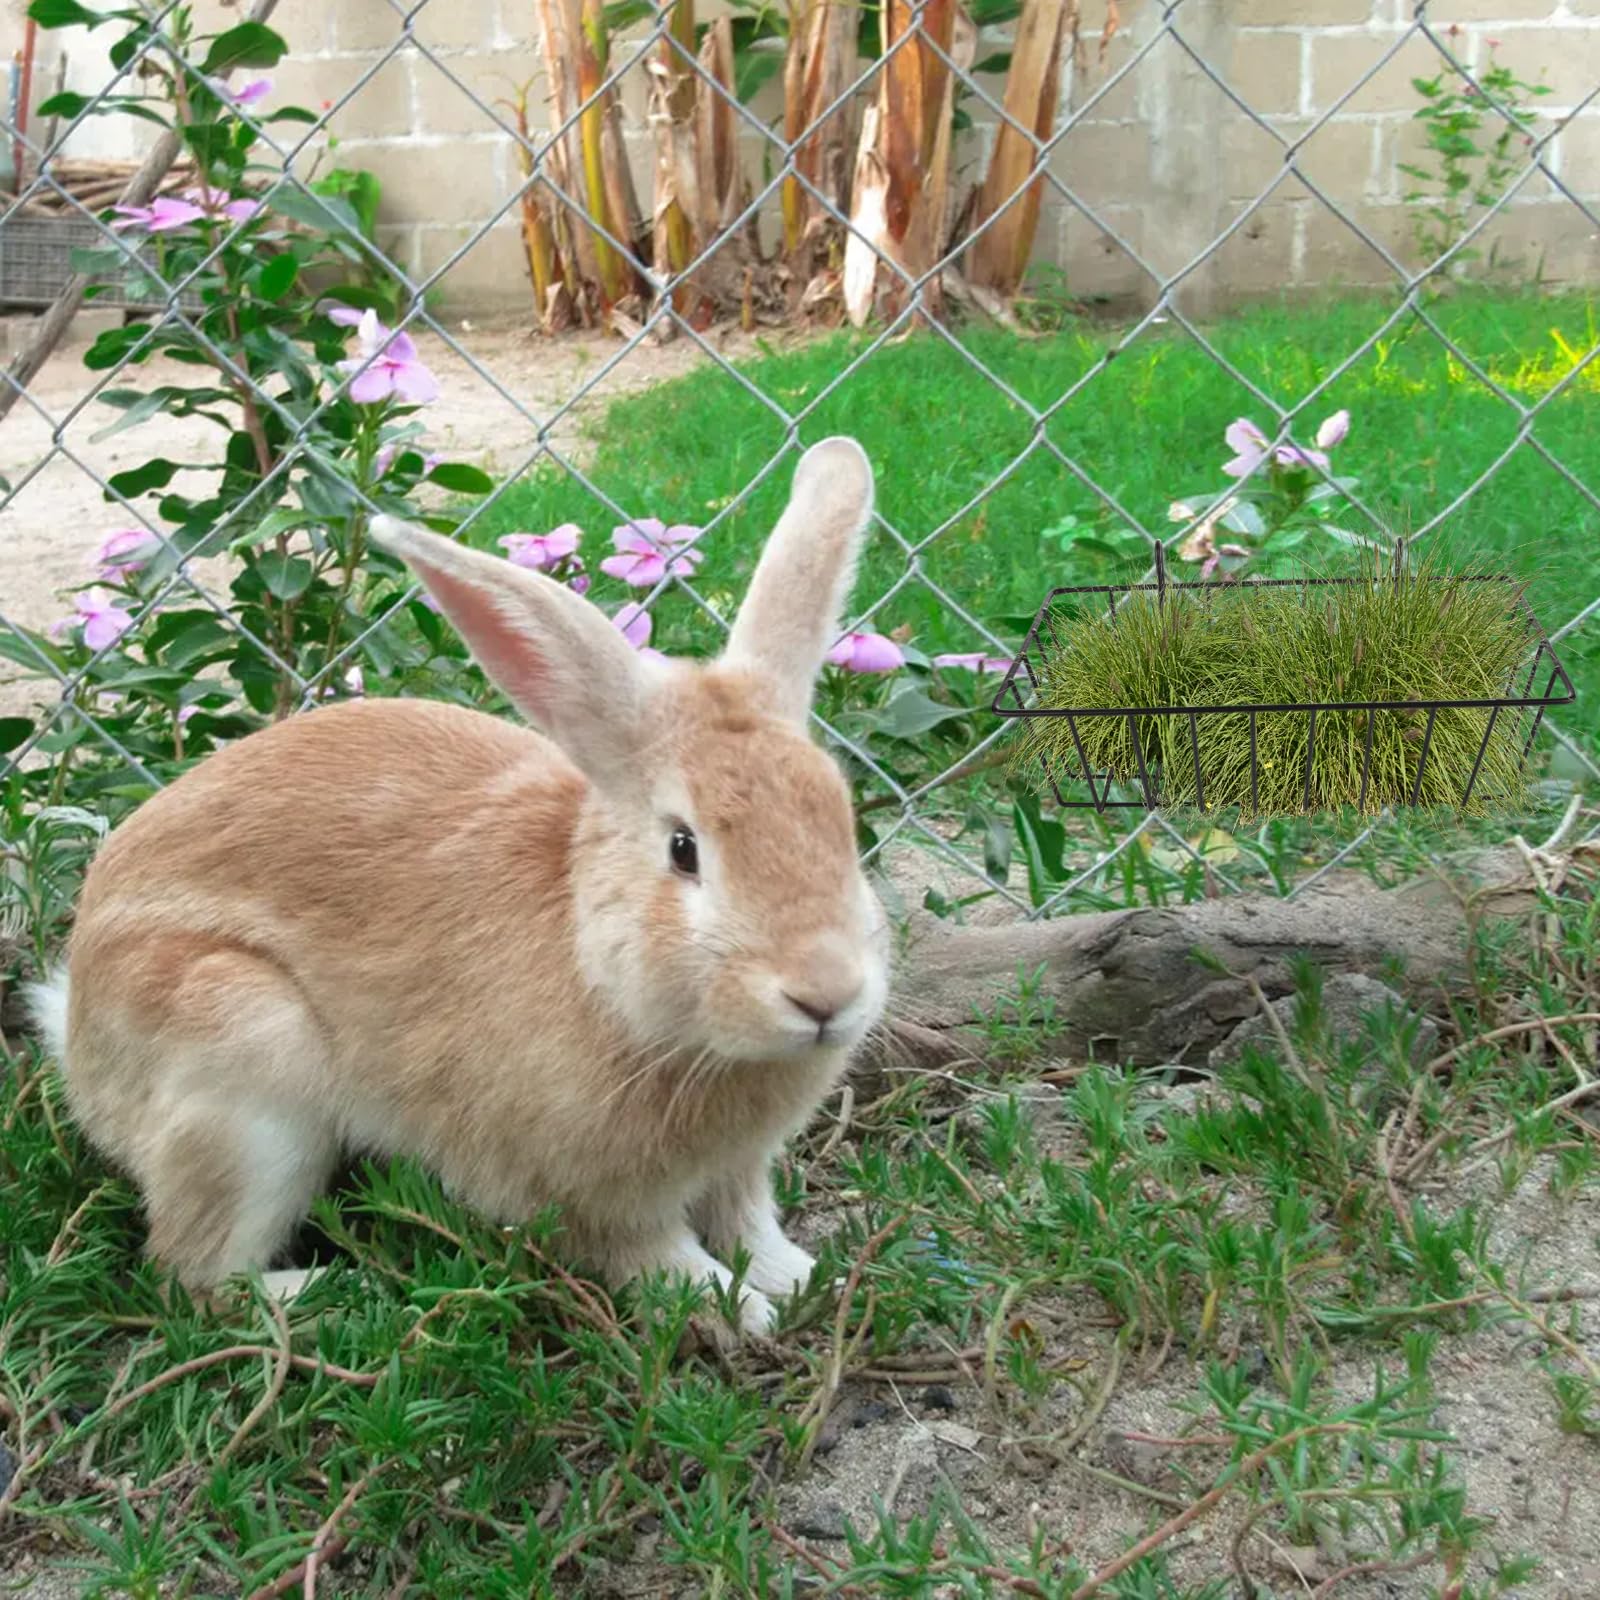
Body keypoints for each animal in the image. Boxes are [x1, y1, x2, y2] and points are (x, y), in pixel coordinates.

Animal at [29, 436, 889, 1334]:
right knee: (190, 1277)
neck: (606, 978)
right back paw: (334, 1293)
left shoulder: (738, 1172)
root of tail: (77, 1032)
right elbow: (654, 1256)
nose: (825, 994)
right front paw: (738, 1309)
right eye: (684, 850)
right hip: (239, 1062)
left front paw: (801, 1278)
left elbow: (749, 1221)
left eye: (841, 820)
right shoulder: (592, 1198)